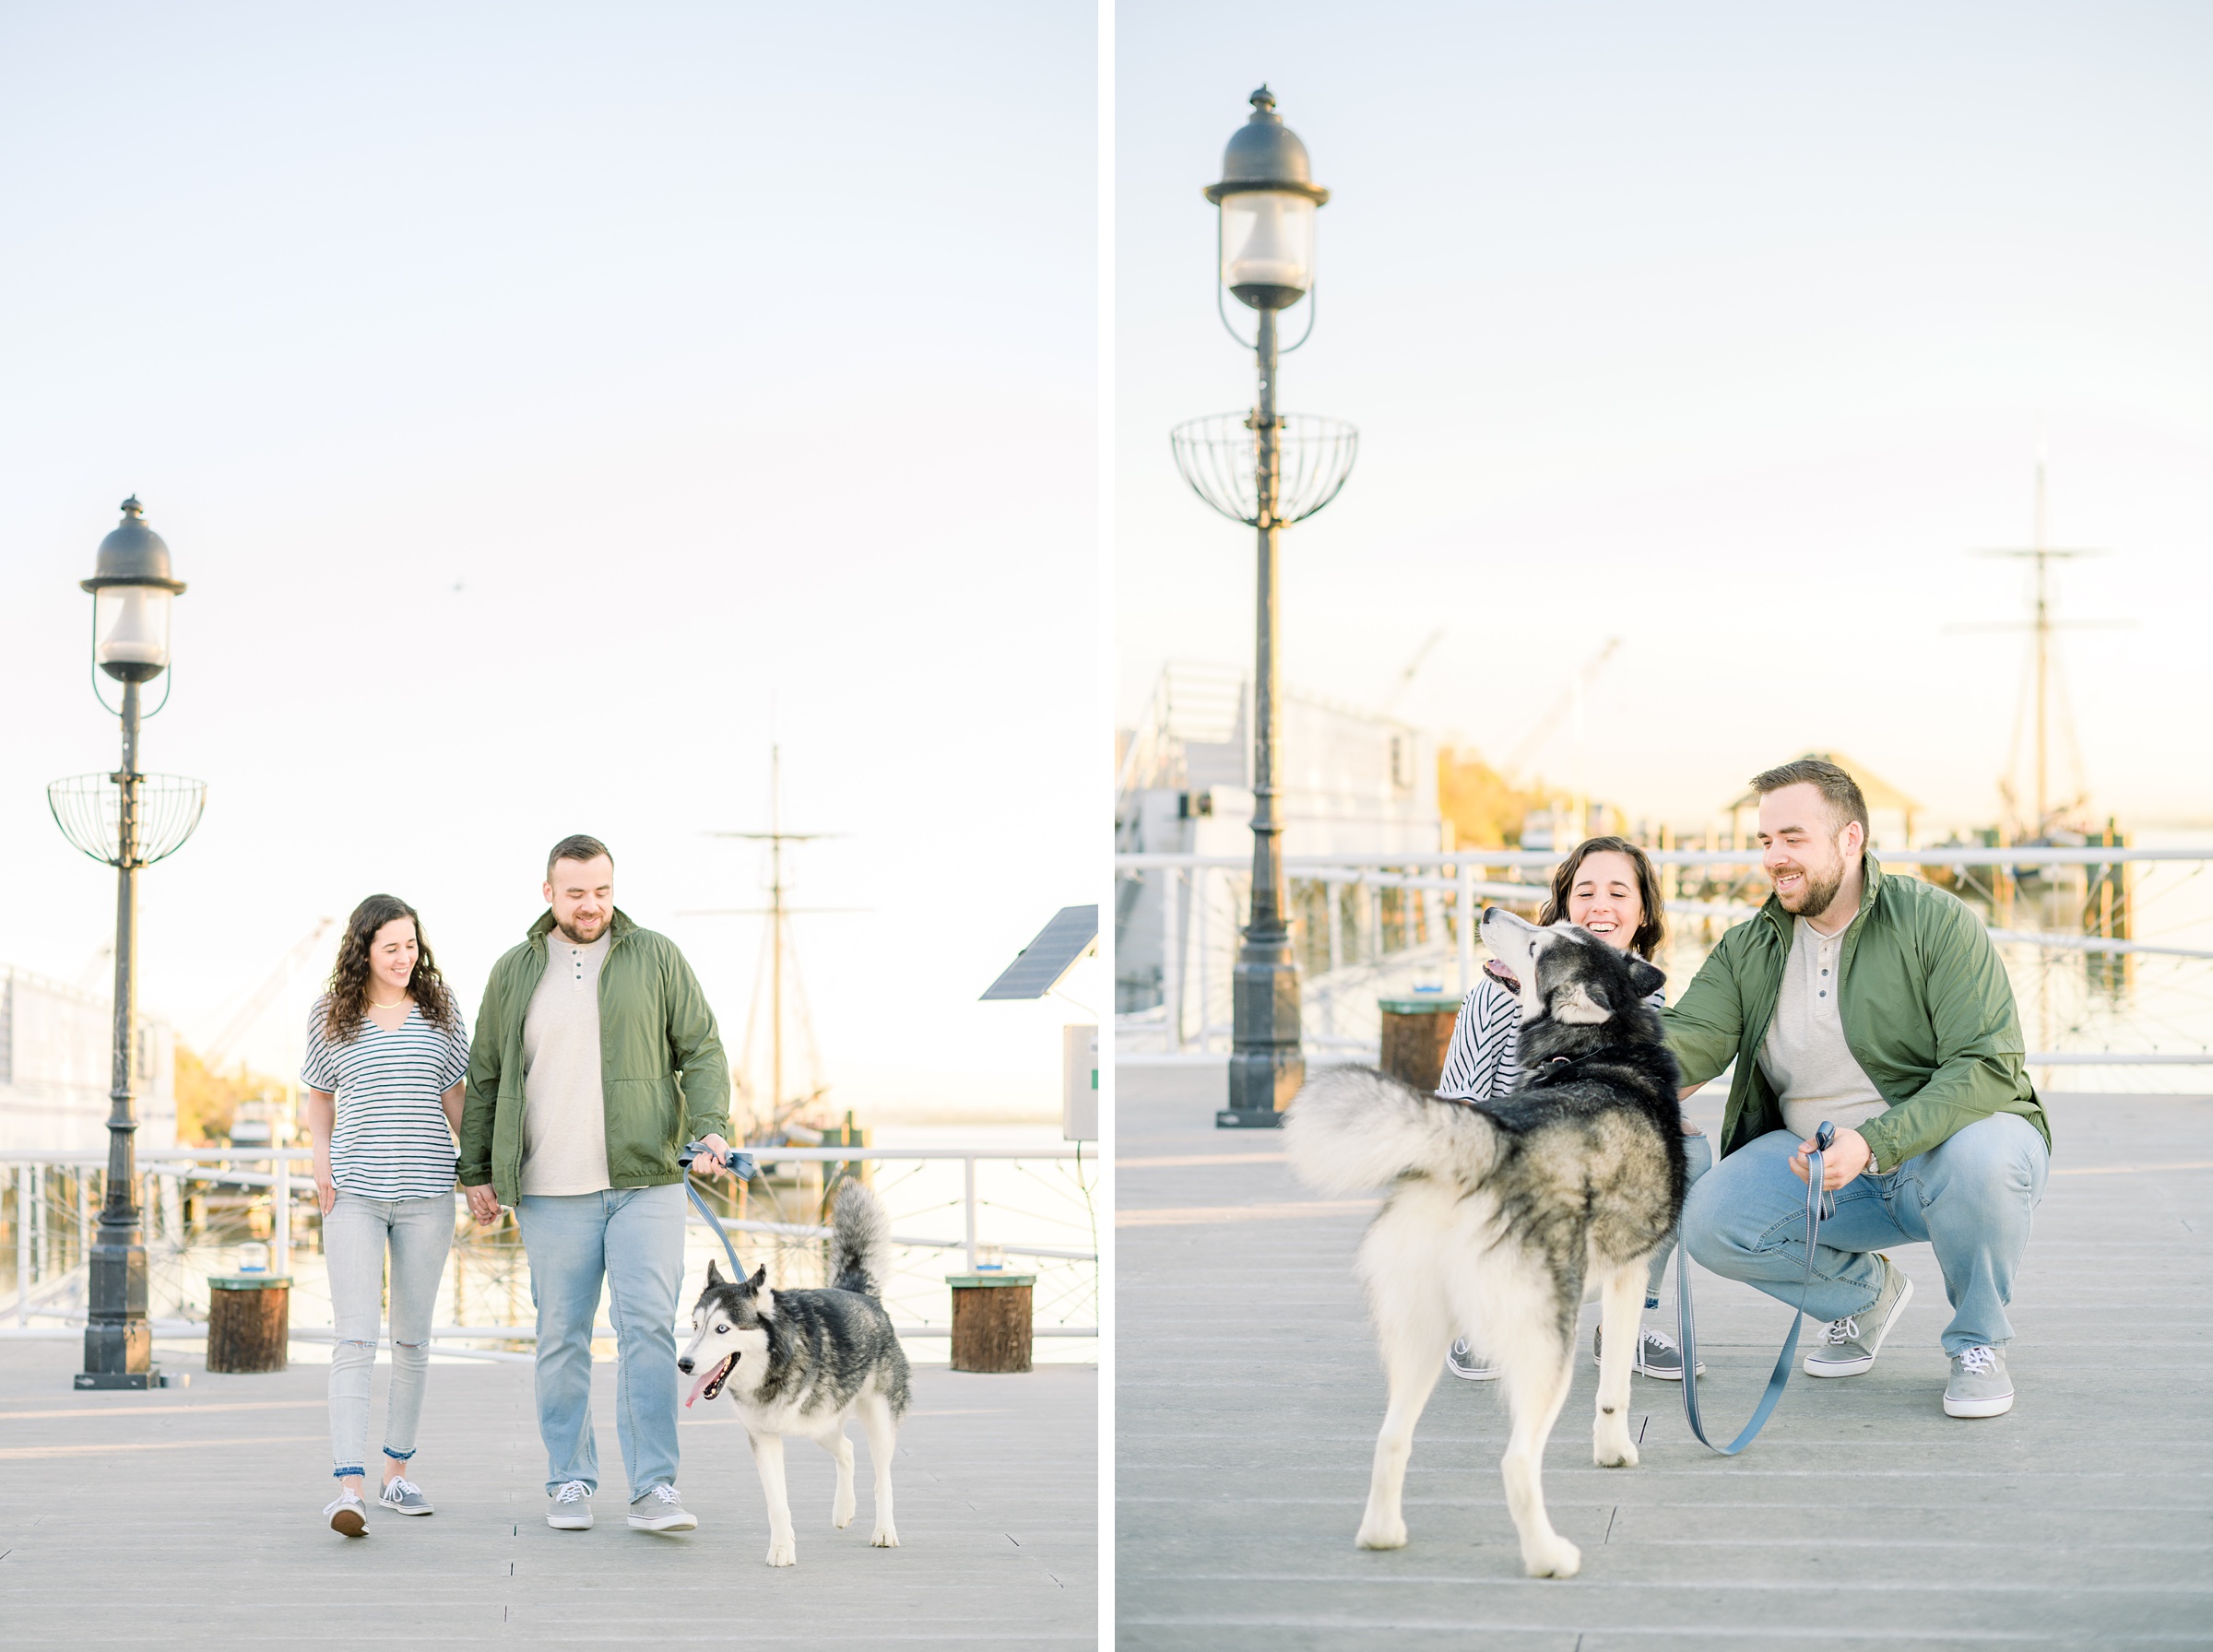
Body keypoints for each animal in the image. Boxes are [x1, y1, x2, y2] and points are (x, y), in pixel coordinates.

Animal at [677, 1185, 911, 1575]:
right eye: (696, 1326)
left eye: (722, 1329)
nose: (684, 1363)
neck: (772, 1364)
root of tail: (861, 1294)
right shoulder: (764, 1437)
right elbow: (777, 1502)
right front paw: (783, 1548)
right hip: (820, 1423)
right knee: (847, 1449)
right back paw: (844, 1510)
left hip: (873, 1419)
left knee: (883, 1478)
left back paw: (884, 1530)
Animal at [1284, 911, 1673, 1583]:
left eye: (1540, 943)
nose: (1489, 912)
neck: (1605, 1048)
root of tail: (1485, 1142)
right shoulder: (1630, 1274)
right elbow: (1614, 1390)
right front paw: (1616, 1452)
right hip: (1545, 1343)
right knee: (1517, 1462)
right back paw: (1549, 1557)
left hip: (1420, 1331)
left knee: (1391, 1437)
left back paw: (1383, 1534)